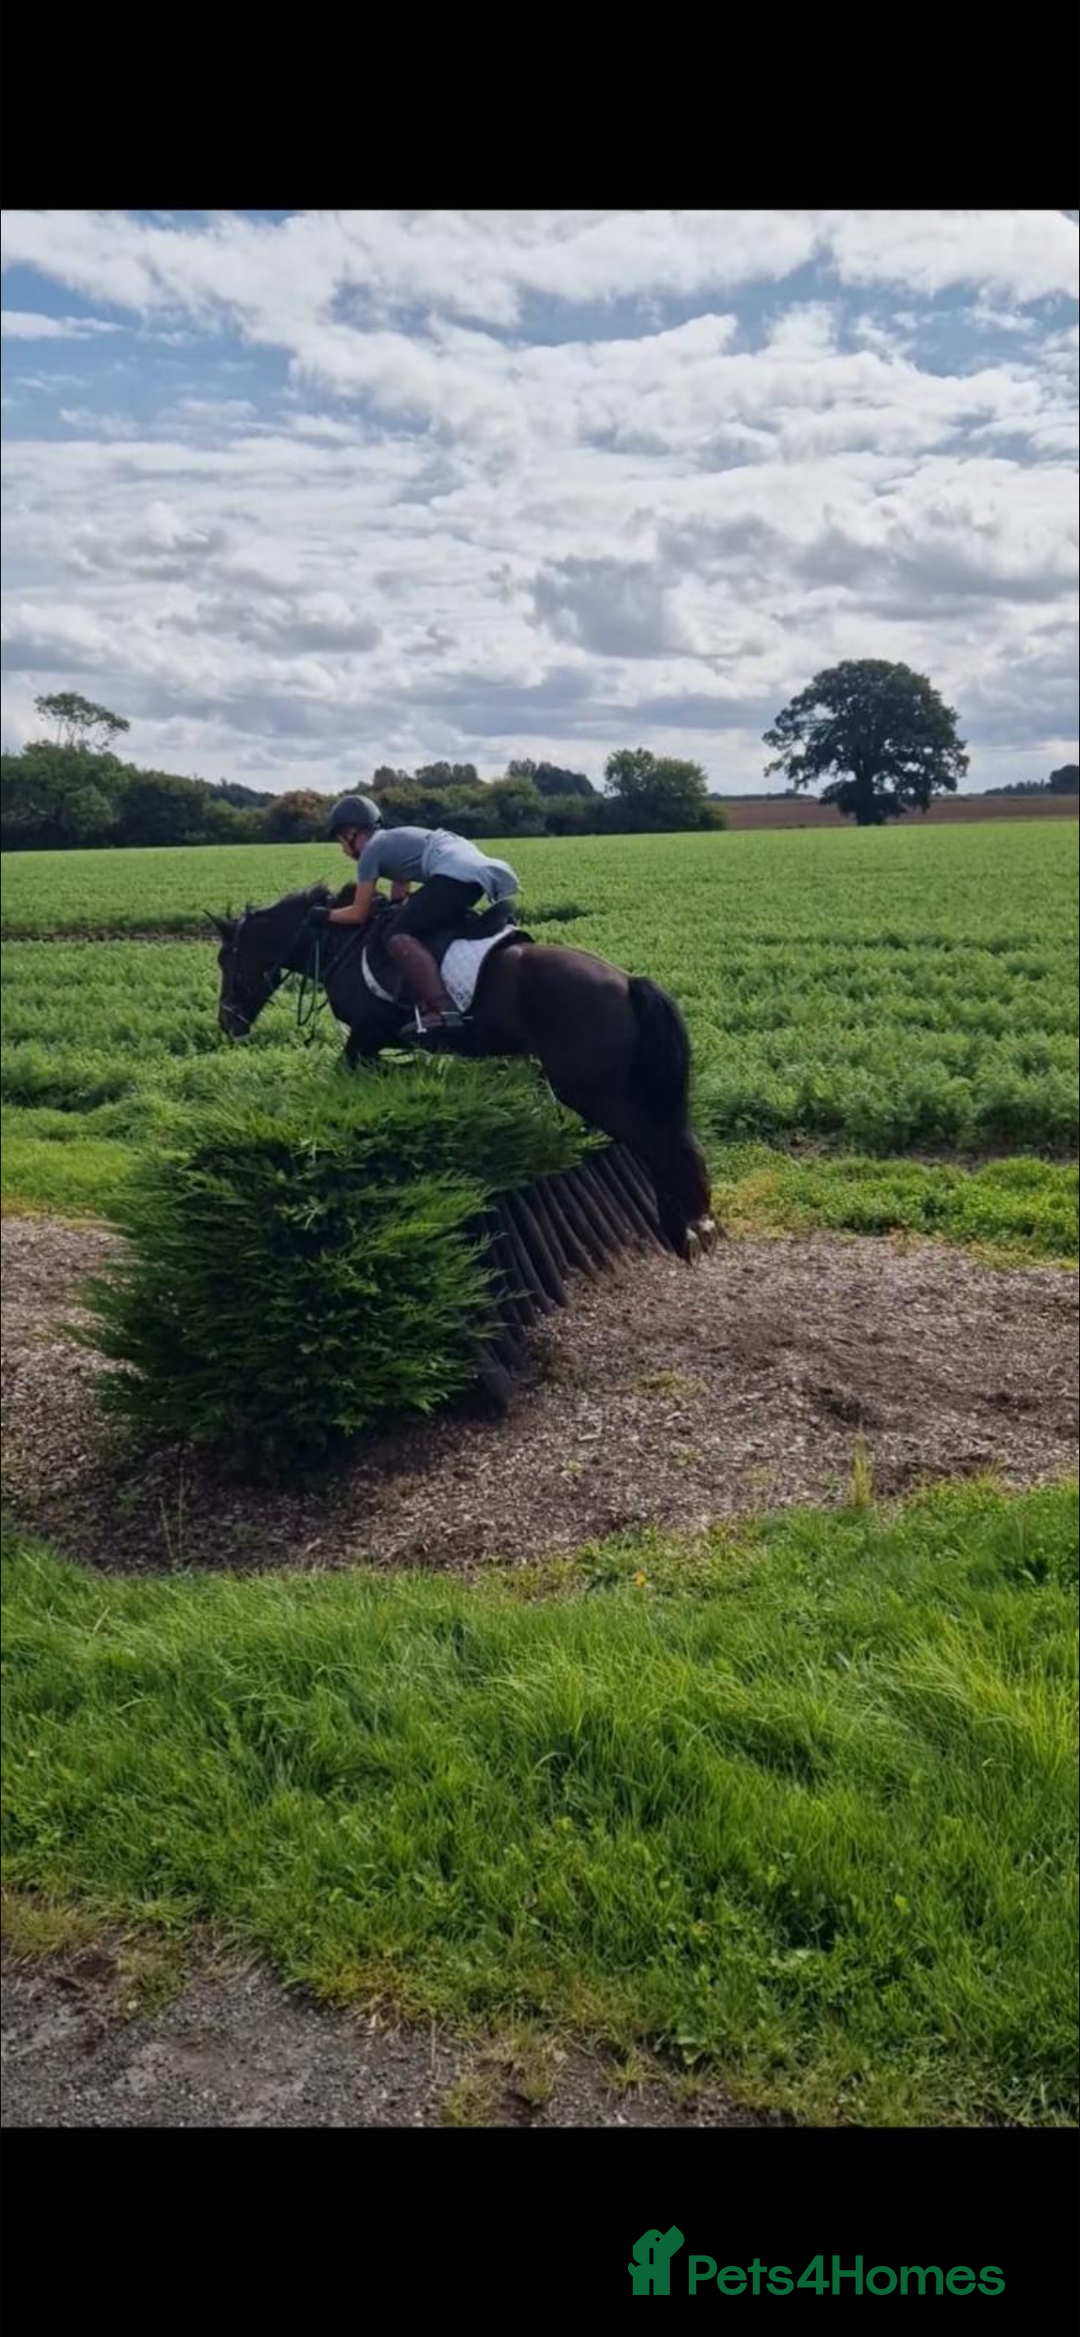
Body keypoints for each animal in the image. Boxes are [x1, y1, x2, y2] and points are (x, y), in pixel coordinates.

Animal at [209, 884, 717, 1260]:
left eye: (224, 960)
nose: (228, 1022)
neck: (338, 944)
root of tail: (628, 982)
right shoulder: (373, 1043)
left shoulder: (367, 1035)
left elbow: (349, 1072)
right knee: (676, 1139)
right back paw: (695, 1221)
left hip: (595, 1092)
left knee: (659, 1146)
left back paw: (684, 1228)